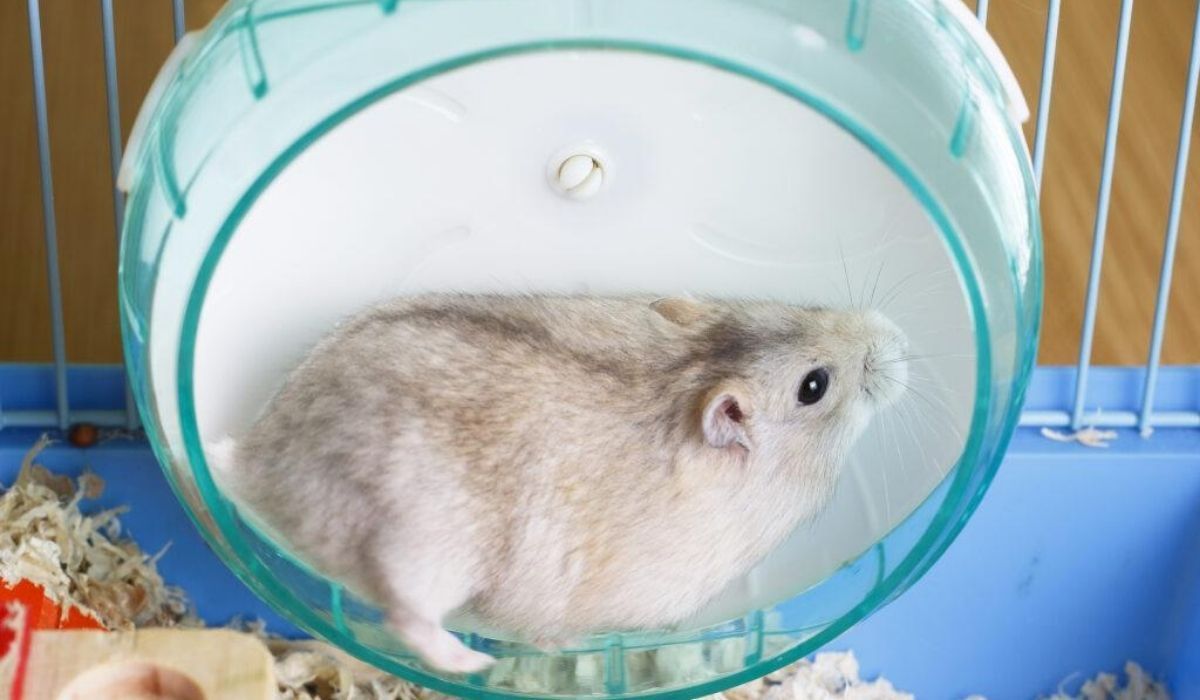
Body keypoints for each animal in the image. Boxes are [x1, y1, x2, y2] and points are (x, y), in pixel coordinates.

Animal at [209, 294, 908, 674]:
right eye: (814, 385)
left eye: (803, 307)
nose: (900, 340)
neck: (686, 375)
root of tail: (256, 461)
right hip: (420, 550)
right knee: (408, 619)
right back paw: (476, 661)